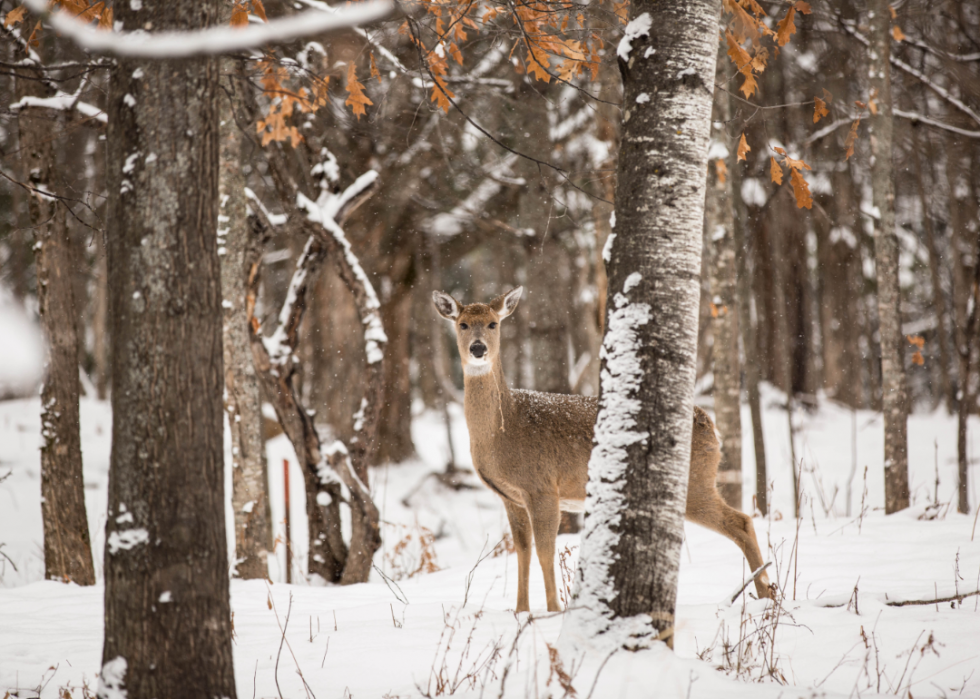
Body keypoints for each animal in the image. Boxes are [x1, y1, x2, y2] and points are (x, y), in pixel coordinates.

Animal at [430, 284, 772, 612]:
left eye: (493, 323)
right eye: (462, 324)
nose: (478, 348)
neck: (503, 430)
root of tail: (709, 424)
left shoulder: (542, 487)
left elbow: (545, 551)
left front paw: (553, 610)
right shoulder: (510, 497)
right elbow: (522, 553)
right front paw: (520, 611)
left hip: (694, 480)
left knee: (742, 521)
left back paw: (764, 594)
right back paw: (764, 593)